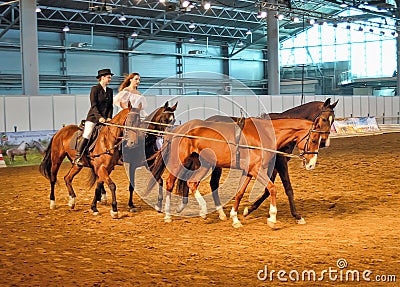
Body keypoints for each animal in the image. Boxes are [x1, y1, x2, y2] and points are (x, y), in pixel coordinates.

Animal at [147, 115, 332, 227]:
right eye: (314, 139)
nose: (311, 165)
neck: (264, 135)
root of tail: (178, 130)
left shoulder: (248, 172)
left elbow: (240, 193)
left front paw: (235, 218)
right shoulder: (256, 170)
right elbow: (272, 188)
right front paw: (272, 218)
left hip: (204, 164)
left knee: (192, 183)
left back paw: (206, 212)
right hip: (179, 162)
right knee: (170, 183)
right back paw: (168, 215)